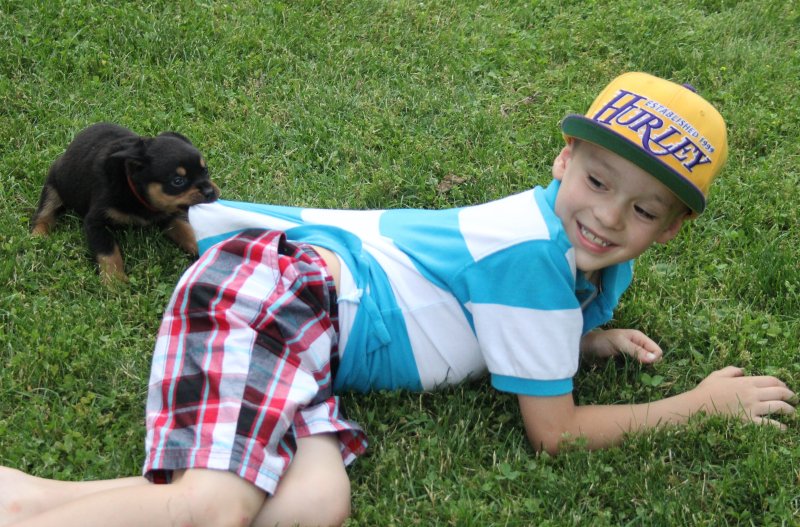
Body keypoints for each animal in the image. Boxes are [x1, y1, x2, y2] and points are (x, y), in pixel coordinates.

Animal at [31, 123, 220, 282]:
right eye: (178, 181)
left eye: (205, 170)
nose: (210, 192)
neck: (136, 191)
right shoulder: (95, 222)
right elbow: (108, 253)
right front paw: (115, 283)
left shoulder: (168, 214)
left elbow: (186, 231)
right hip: (54, 182)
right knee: (45, 211)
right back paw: (38, 238)